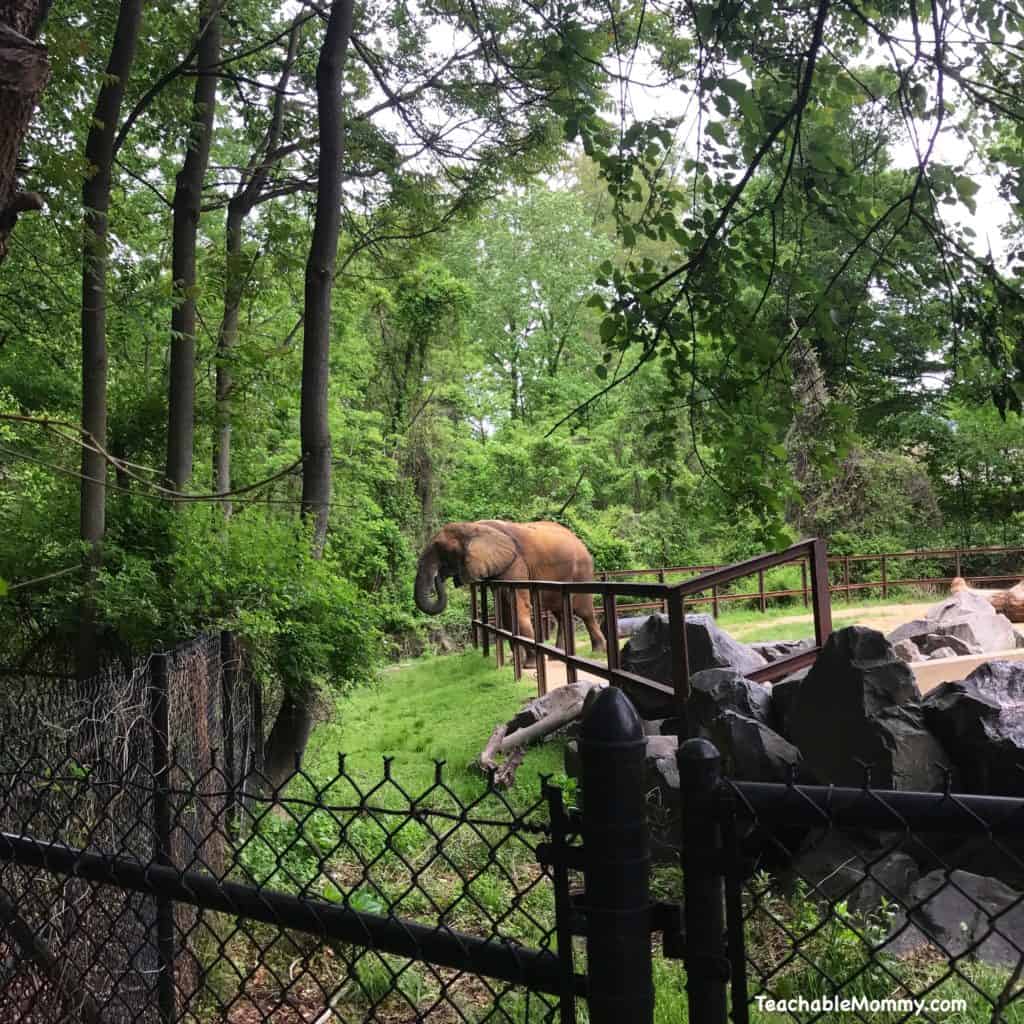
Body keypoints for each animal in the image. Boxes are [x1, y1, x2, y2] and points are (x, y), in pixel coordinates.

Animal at [413, 520, 606, 663]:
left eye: (442, 549)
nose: (439, 577)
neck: (473, 527)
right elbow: (506, 613)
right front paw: (516, 662)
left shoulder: (515, 564)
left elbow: (518, 609)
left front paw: (530, 663)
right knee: (561, 614)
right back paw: (556, 656)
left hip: (581, 571)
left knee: (584, 611)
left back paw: (597, 651)